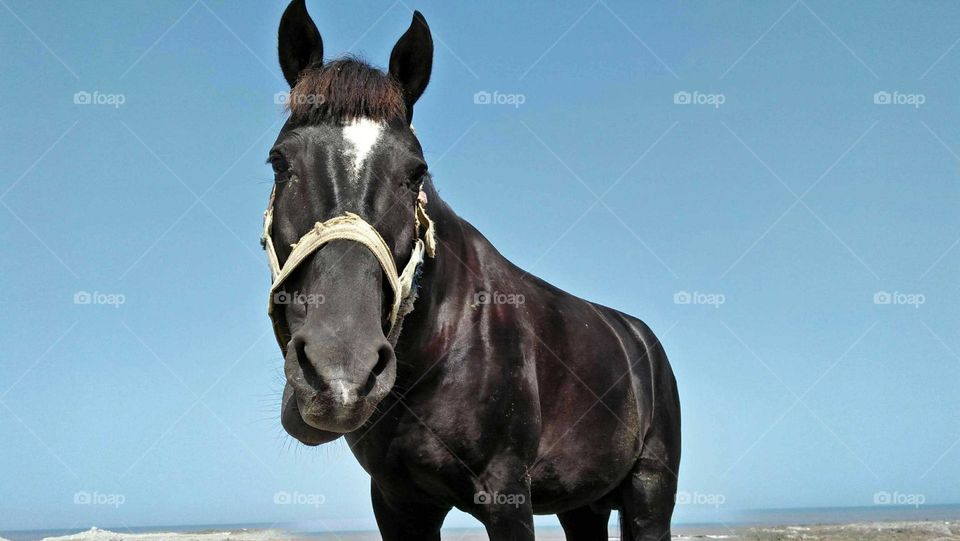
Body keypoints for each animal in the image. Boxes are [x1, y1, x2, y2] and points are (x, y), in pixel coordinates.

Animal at [266, 2, 680, 536]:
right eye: (279, 162)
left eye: (415, 173)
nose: (340, 375)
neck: (446, 338)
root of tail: (642, 339)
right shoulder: (398, 503)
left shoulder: (507, 494)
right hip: (582, 506)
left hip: (650, 495)